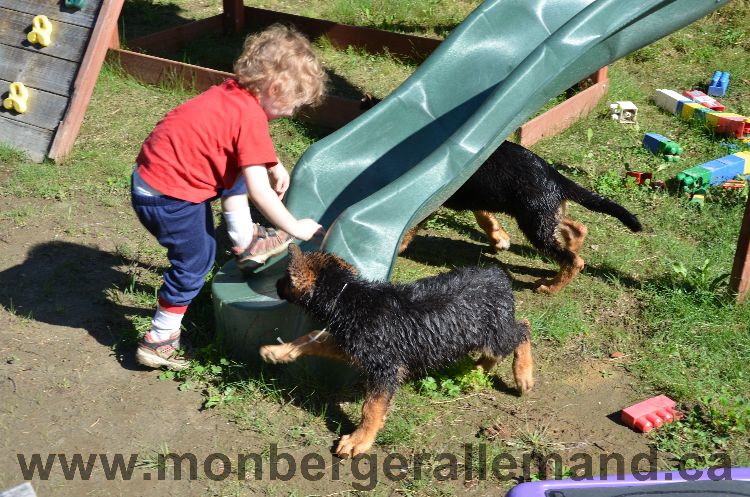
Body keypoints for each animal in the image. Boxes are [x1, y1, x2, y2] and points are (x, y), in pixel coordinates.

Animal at [260, 244, 536, 458]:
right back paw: (480, 368)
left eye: (286, 278)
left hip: (495, 333)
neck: (348, 296)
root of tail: (497, 274)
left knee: (523, 329)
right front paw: (277, 352)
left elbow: (370, 407)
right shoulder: (353, 346)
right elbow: (310, 339)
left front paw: (359, 440)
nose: (274, 284)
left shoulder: (386, 368)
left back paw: (523, 375)